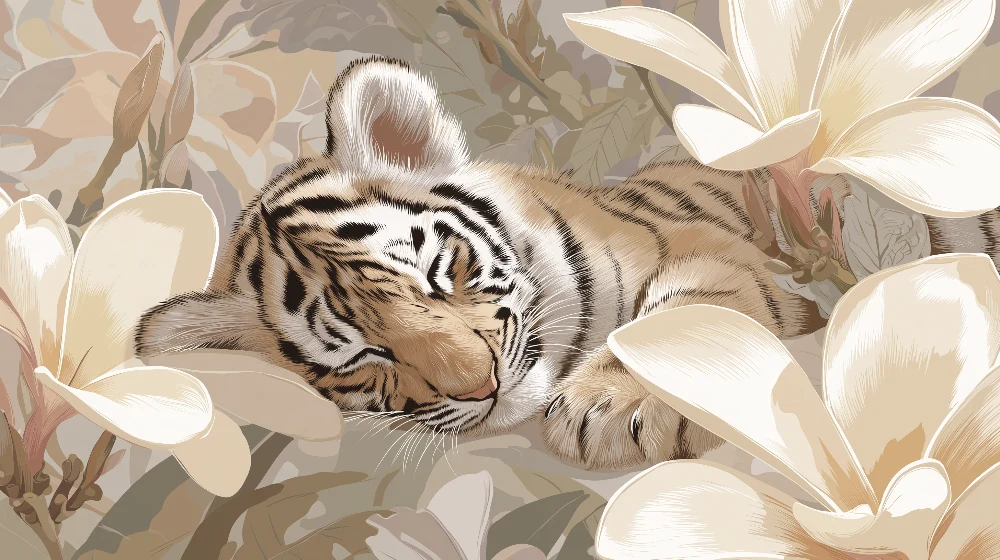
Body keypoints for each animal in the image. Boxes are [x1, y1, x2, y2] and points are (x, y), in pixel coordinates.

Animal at [133, 56, 1000, 470]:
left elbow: (678, 315)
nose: (480, 388)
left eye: (439, 272)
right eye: (361, 357)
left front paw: (611, 410)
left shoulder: (715, 251)